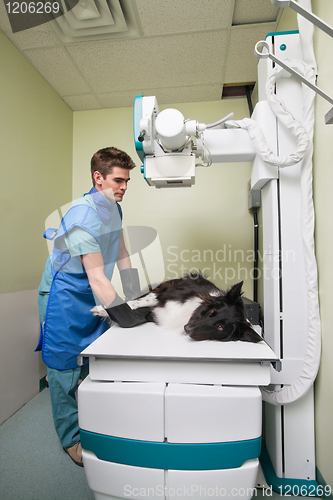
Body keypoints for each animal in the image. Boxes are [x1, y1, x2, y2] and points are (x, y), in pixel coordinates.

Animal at [92, 274, 260, 344]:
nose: (187, 328)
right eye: (212, 312)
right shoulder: (165, 294)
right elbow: (134, 303)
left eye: (220, 327)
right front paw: (101, 310)